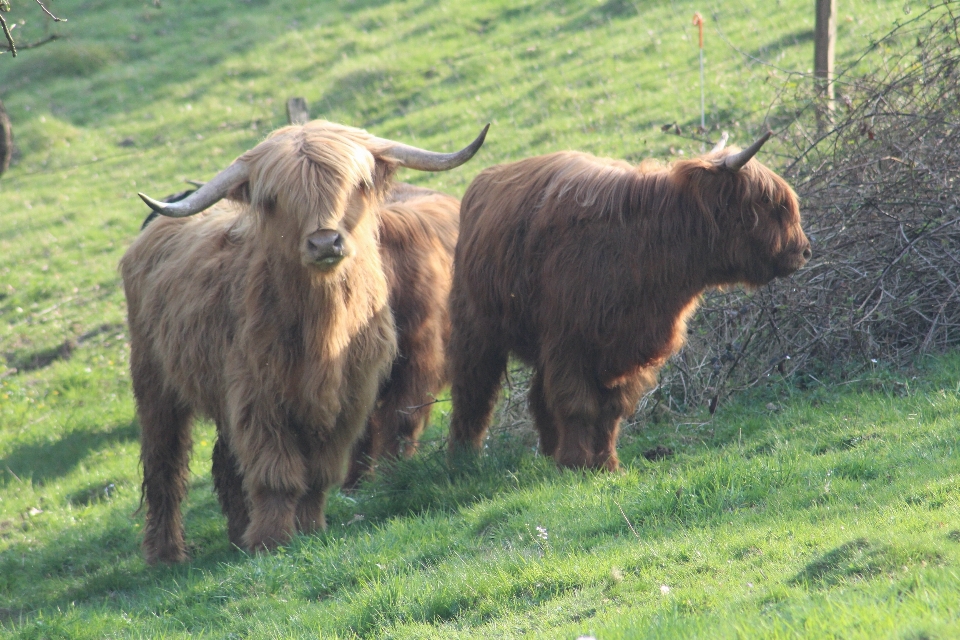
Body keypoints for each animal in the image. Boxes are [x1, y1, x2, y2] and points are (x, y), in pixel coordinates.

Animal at [123, 121, 488, 564]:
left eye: (356, 185)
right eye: (275, 199)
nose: (325, 242)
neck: (324, 332)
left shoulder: (351, 397)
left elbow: (319, 471)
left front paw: (311, 529)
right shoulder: (259, 398)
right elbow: (275, 472)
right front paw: (272, 541)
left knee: (224, 462)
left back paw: (236, 535)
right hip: (154, 382)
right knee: (164, 463)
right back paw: (165, 553)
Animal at [448, 132, 808, 470]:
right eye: (767, 201)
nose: (803, 250)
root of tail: (483, 179)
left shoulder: (625, 347)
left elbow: (611, 409)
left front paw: (606, 463)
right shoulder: (568, 341)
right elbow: (577, 404)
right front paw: (577, 463)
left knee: (537, 395)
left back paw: (551, 452)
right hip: (474, 327)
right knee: (473, 390)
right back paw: (464, 457)